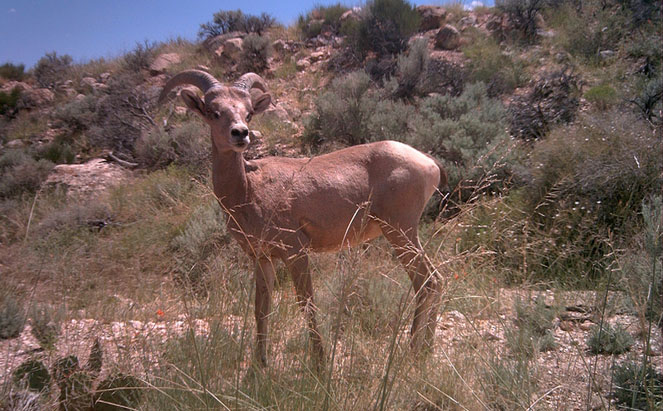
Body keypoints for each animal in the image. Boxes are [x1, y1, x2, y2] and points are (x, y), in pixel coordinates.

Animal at [159, 70, 449, 366]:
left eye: (249, 113)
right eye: (213, 111)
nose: (240, 133)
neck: (249, 188)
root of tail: (428, 163)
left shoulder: (296, 253)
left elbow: (306, 303)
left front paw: (319, 363)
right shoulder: (263, 258)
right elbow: (261, 308)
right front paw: (259, 366)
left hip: (400, 232)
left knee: (427, 281)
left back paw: (413, 352)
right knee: (434, 281)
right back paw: (424, 351)